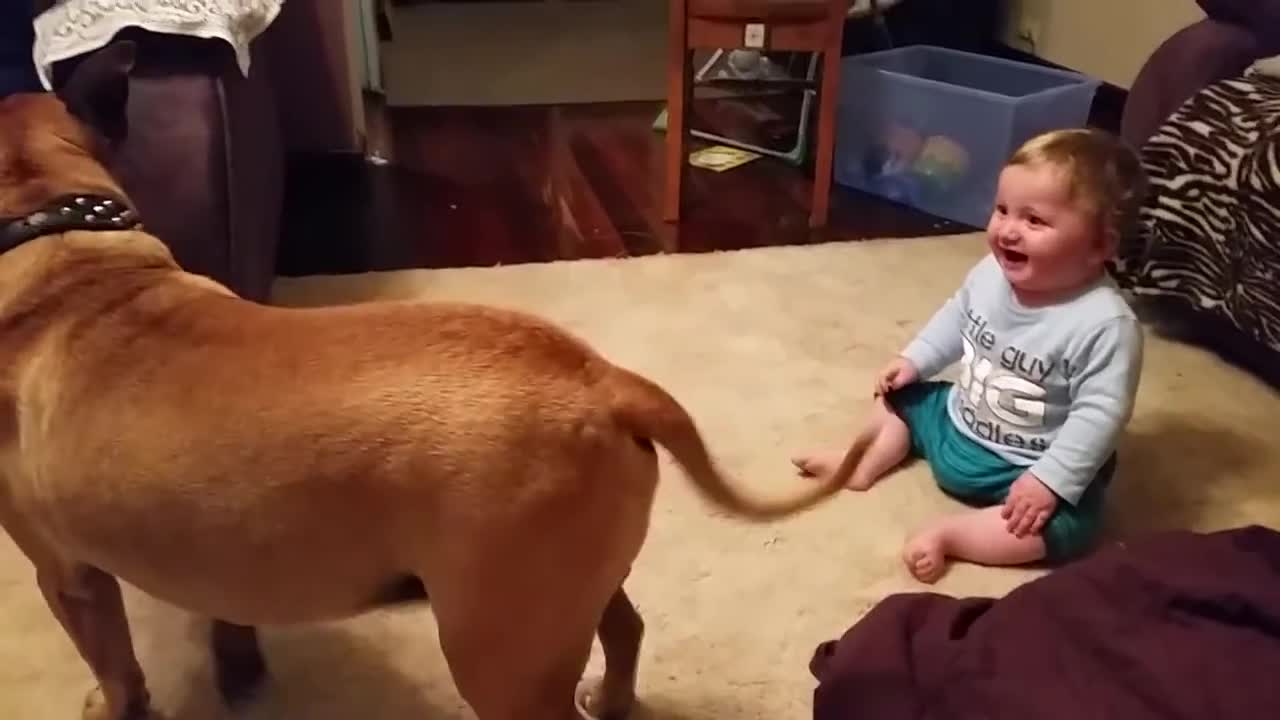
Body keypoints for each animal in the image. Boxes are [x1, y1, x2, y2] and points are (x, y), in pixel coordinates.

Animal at [0, 41, 860, 717]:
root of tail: (602, 379)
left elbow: (116, 665)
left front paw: (115, 701)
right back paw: (614, 699)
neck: (64, 251)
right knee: (624, 629)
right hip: (569, 592)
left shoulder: (67, 574)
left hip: (498, 652)